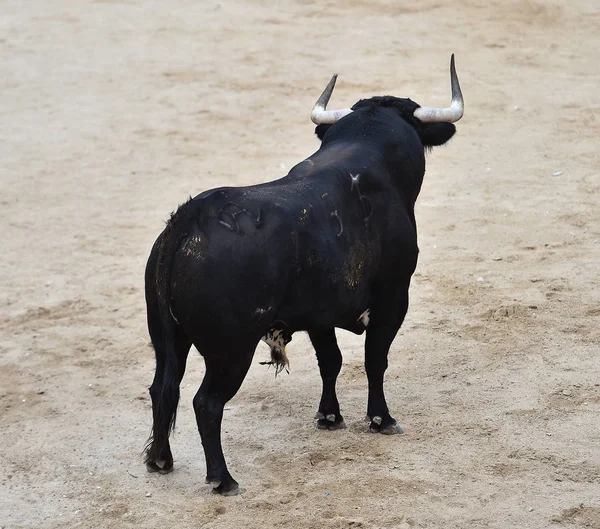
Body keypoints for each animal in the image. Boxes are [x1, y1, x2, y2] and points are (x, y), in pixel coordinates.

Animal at [144, 89, 460, 490]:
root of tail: (189, 218)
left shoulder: (319, 315)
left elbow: (331, 361)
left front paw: (329, 417)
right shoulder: (392, 299)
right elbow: (375, 359)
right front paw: (381, 419)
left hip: (167, 337)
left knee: (162, 388)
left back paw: (160, 459)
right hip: (231, 351)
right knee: (207, 403)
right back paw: (223, 479)